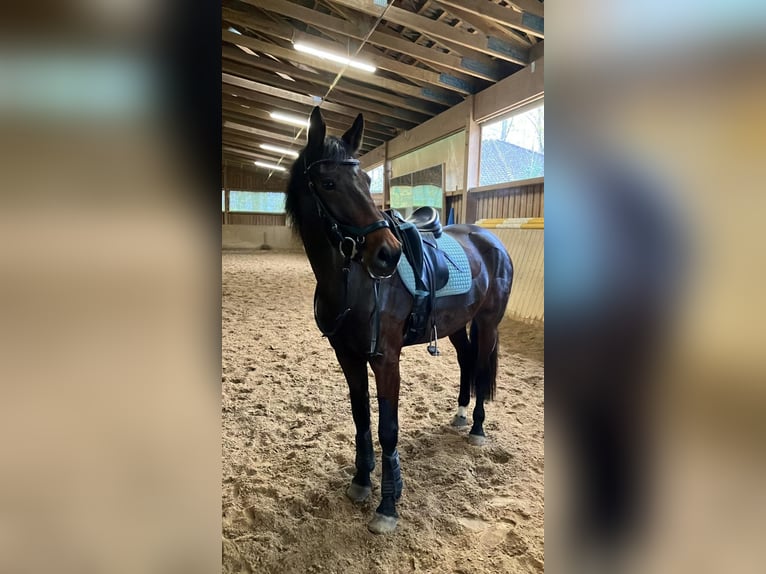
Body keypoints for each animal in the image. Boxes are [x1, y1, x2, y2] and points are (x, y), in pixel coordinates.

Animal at [285, 107, 513, 534]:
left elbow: (387, 430)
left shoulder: (386, 359)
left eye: (366, 180)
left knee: (481, 364)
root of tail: (490, 240)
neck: (353, 283)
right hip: (456, 326)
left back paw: (476, 428)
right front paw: (361, 481)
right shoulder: (348, 357)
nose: (388, 254)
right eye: (328, 183)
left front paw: (388, 505)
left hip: (488, 324)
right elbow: (361, 419)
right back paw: (460, 415)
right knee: (466, 360)